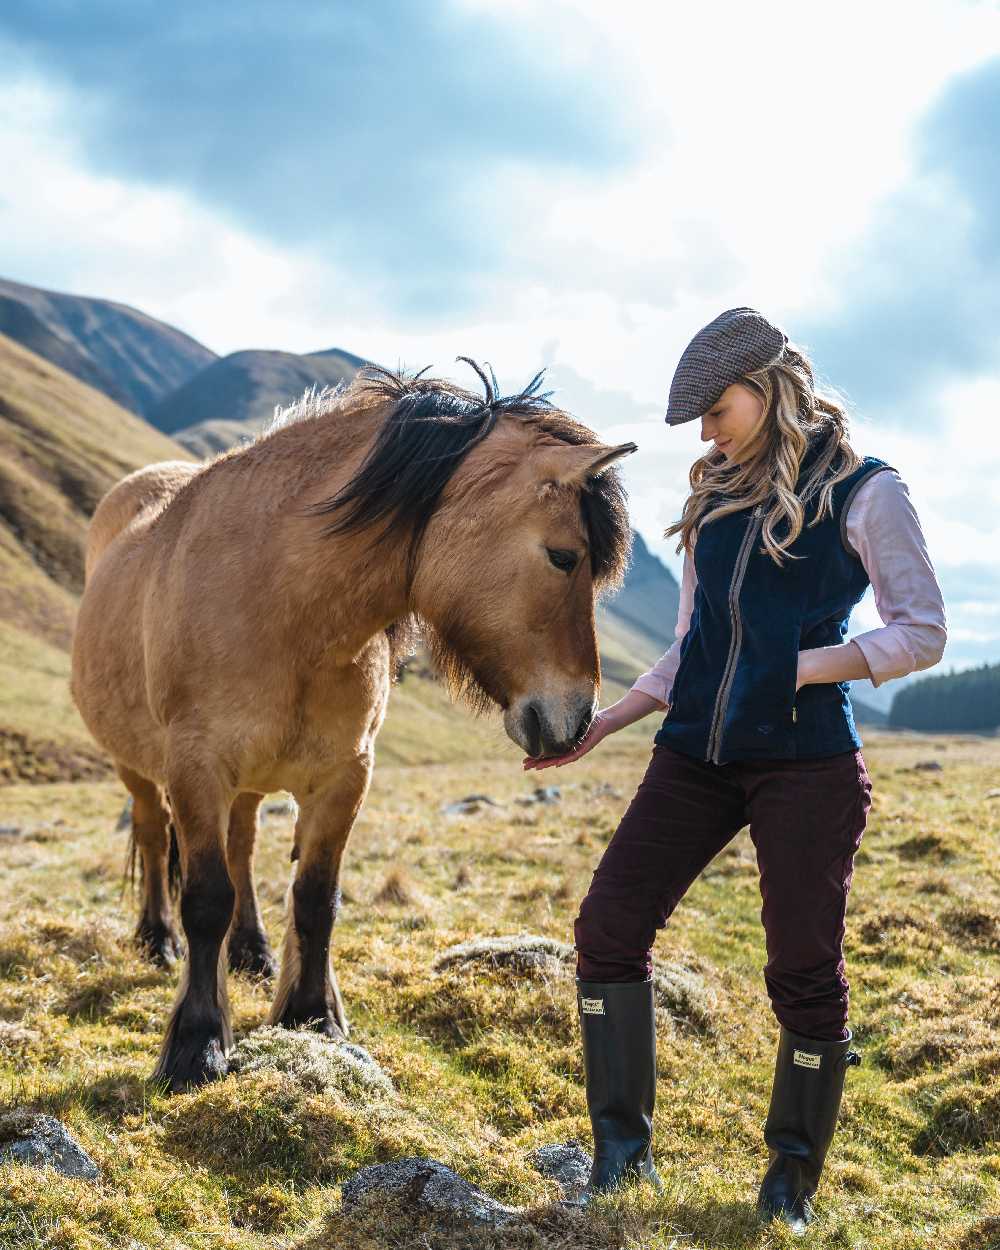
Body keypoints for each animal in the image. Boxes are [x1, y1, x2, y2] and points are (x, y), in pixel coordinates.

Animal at [72, 357, 632, 1090]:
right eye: (563, 556)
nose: (575, 719)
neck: (284, 604)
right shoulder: (195, 770)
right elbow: (205, 899)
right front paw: (197, 1044)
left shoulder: (345, 776)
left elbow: (316, 897)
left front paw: (311, 1015)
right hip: (138, 769)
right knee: (150, 832)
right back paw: (156, 940)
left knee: (243, 848)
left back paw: (252, 952)